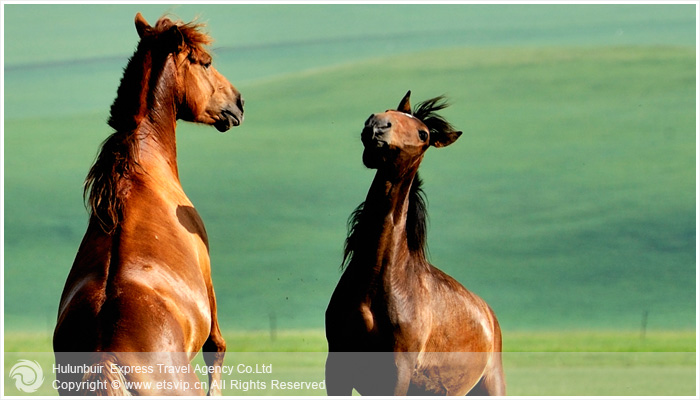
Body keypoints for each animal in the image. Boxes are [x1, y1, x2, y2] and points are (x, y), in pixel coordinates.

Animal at [52, 13, 243, 396]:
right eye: (206, 63)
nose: (239, 102)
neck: (143, 166)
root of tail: (105, 359)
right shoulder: (208, 279)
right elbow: (216, 348)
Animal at [326, 92, 506, 396]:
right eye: (389, 110)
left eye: (423, 135)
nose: (376, 125)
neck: (377, 281)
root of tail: (489, 317)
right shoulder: (337, 366)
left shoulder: (396, 373)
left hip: (492, 385)